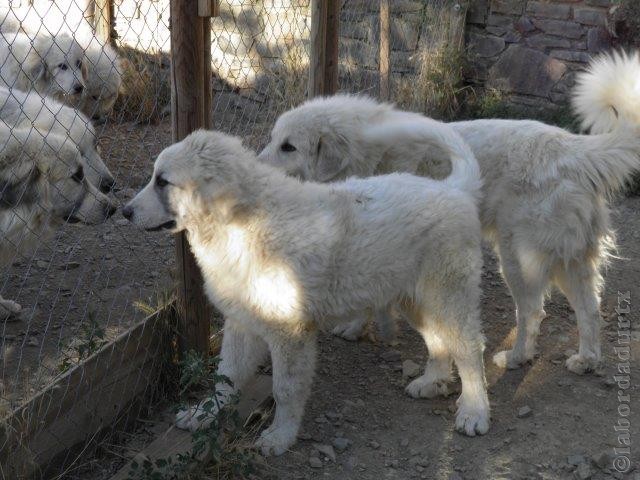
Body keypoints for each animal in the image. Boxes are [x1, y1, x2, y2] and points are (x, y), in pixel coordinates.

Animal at [121, 125, 490, 456]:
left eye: (163, 181)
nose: (124, 212)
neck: (239, 225)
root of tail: (454, 190)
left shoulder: (290, 332)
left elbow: (285, 389)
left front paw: (280, 437)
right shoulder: (241, 321)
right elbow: (226, 375)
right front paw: (204, 414)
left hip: (448, 294)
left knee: (470, 350)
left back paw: (474, 411)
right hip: (415, 299)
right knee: (439, 342)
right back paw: (433, 382)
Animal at [258, 51, 640, 376]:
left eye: (288, 147)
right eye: (273, 138)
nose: (255, 165)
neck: (367, 151)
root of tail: (573, 150)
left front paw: (356, 327)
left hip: (519, 258)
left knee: (533, 312)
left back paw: (516, 357)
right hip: (572, 260)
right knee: (590, 309)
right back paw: (586, 360)